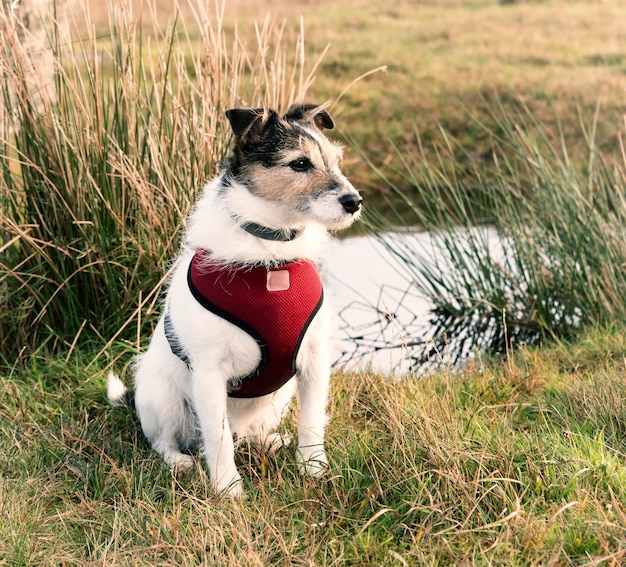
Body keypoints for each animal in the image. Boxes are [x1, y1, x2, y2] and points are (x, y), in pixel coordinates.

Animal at [106, 102, 360, 496]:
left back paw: (268, 440)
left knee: (247, 434)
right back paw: (180, 462)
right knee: (167, 440)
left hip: (280, 395)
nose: (355, 202)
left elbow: (312, 421)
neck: (271, 254)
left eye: (336, 160)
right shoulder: (210, 374)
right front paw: (227, 488)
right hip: (164, 395)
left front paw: (313, 469)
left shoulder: (314, 363)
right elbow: (218, 436)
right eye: (300, 163)